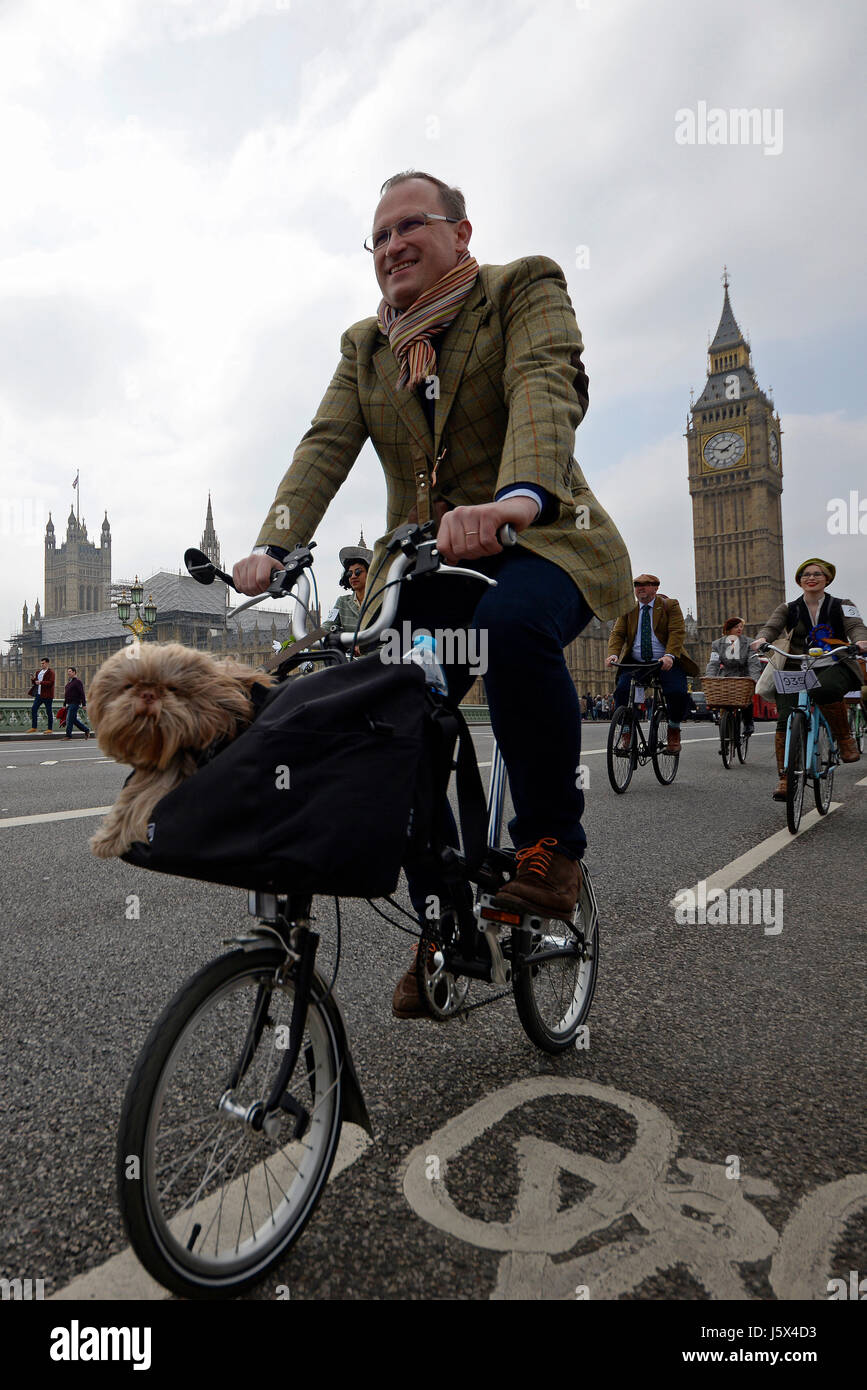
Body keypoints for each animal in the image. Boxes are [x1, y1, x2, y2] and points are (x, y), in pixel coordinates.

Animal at [89, 642, 269, 856]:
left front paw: (113, 837)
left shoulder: (173, 772)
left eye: (172, 688)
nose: (148, 694)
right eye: (129, 686)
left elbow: (142, 799)